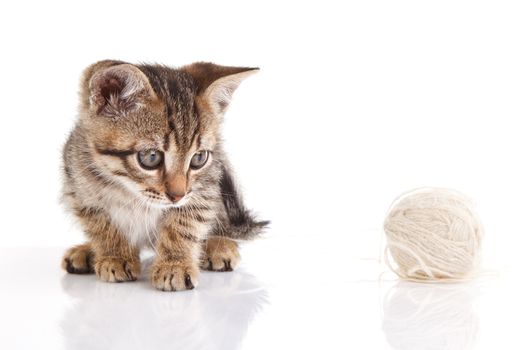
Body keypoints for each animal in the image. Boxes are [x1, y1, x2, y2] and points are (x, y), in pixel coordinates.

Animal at [60, 60, 268, 290]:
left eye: (199, 158)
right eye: (151, 157)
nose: (178, 195)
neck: (129, 189)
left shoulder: (203, 188)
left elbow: (185, 224)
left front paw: (174, 264)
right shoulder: (78, 188)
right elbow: (100, 225)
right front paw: (116, 256)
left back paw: (218, 245)